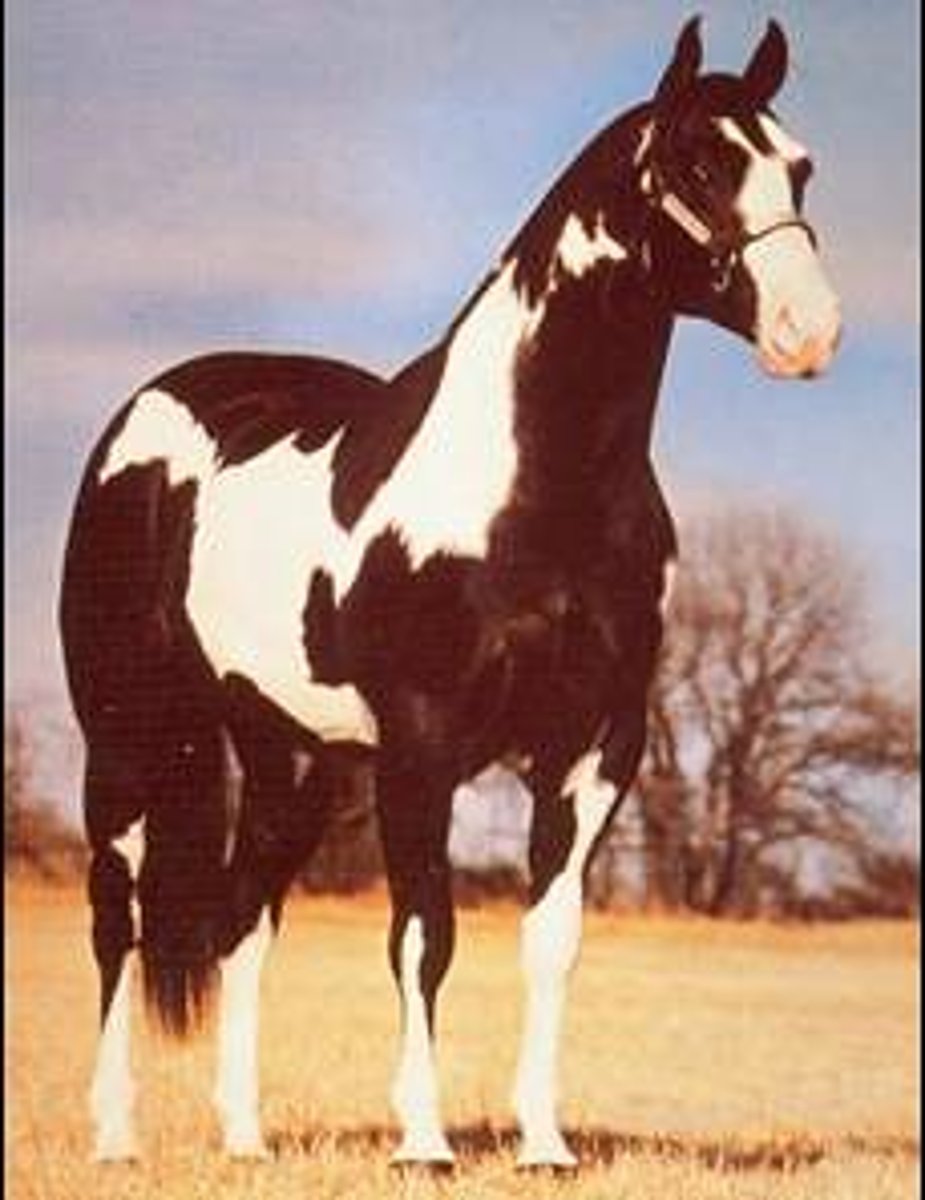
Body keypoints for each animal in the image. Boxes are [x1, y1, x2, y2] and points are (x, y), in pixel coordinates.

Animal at [59, 17, 841, 1170]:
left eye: (799, 165)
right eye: (696, 162)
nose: (807, 330)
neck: (530, 486)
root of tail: (149, 411)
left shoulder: (593, 751)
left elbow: (550, 941)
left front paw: (544, 1145)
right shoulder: (423, 751)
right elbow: (424, 934)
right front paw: (422, 1141)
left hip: (293, 761)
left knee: (242, 919)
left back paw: (245, 1137)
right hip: (125, 735)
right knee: (118, 913)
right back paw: (114, 1134)